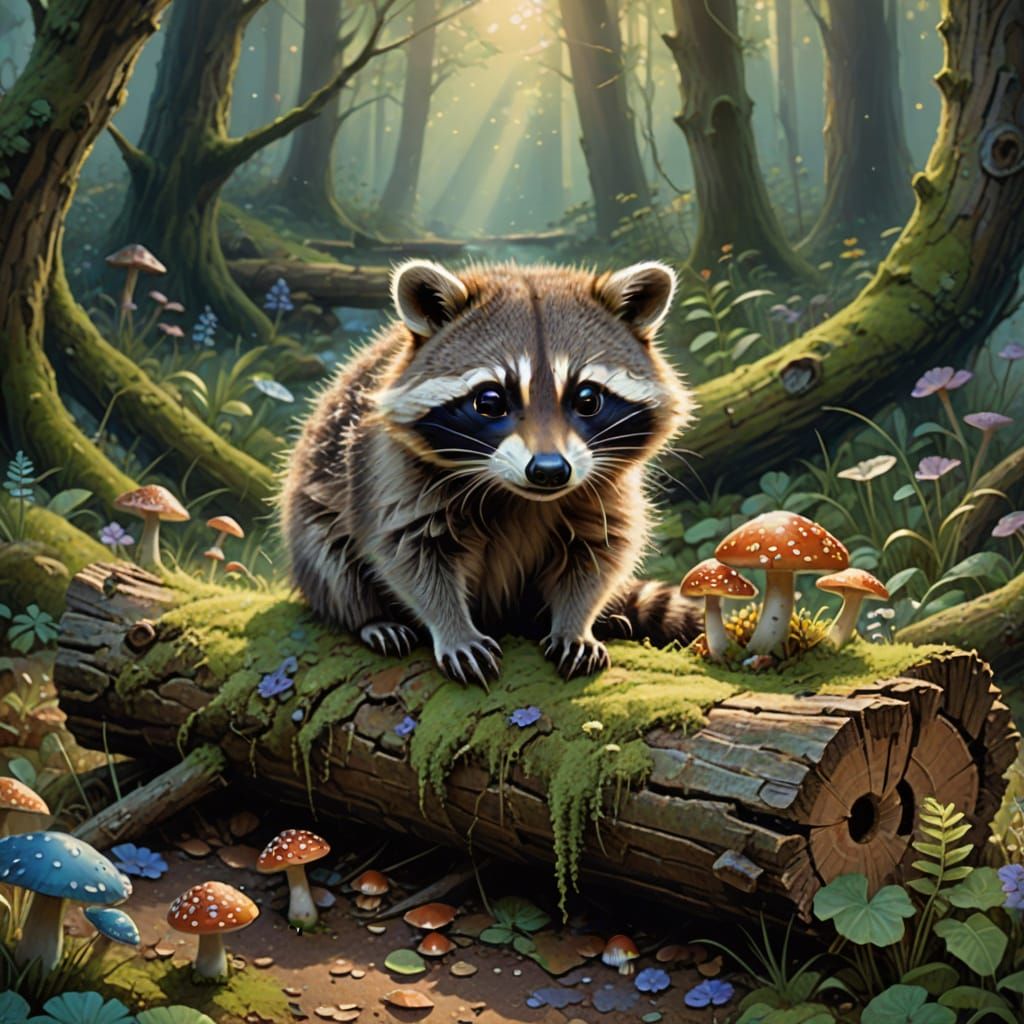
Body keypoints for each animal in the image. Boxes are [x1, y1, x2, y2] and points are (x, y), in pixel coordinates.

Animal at [280, 259, 701, 685]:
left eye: (587, 399)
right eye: (490, 401)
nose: (549, 471)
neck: (516, 494)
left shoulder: (604, 483)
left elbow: (600, 548)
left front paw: (575, 623)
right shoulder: (389, 469)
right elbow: (409, 551)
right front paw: (453, 628)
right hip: (312, 513)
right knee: (330, 561)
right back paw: (370, 619)